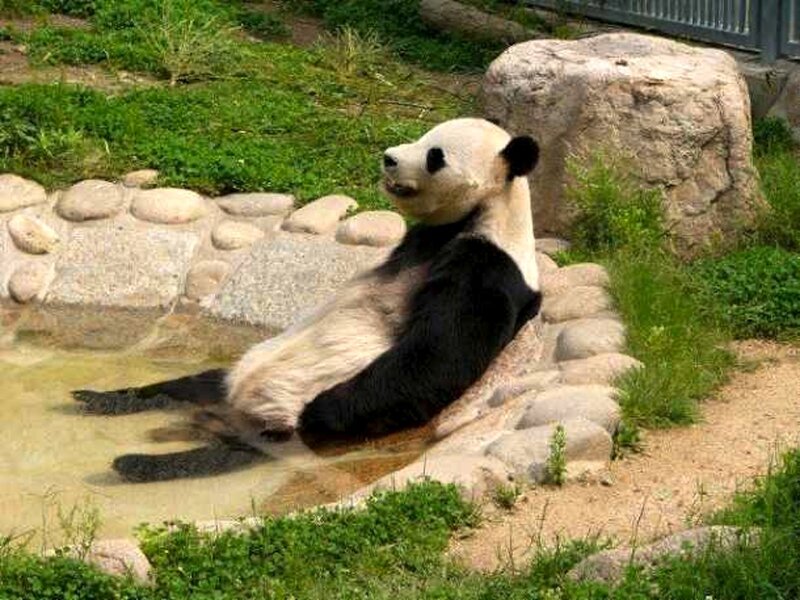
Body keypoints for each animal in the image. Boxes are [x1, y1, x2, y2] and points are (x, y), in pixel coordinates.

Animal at [74, 118, 542, 482]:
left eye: (435, 155)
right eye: (424, 135)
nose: (389, 157)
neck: (488, 213)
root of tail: (223, 416)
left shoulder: (486, 268)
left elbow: (438, 355)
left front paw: (319, 411)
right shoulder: (419, 241)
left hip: (273, 423)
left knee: (231, 452)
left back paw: (136, 463)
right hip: (231, 375)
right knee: (189, 385)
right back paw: (108, 399)